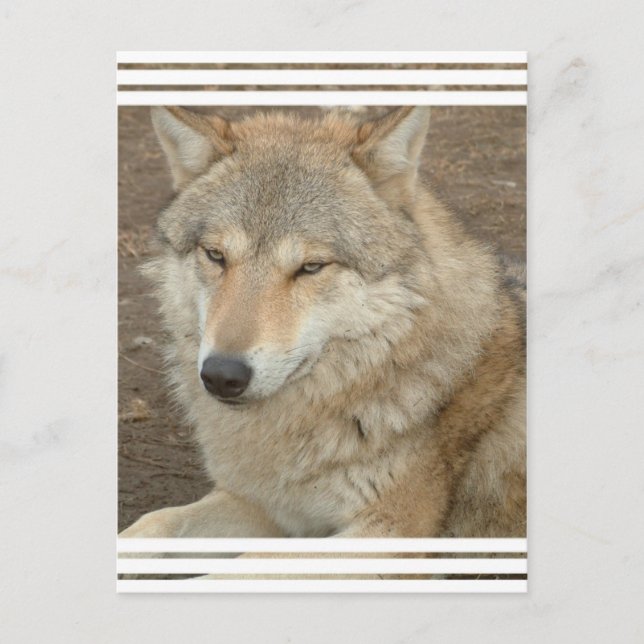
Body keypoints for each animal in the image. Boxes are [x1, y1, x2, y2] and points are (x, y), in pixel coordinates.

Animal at [120, 105, 526, 541]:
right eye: (215, 255)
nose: (222, 375)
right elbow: (154, 521)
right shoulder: (267, 507)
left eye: (311, 267)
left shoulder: (390, 529)